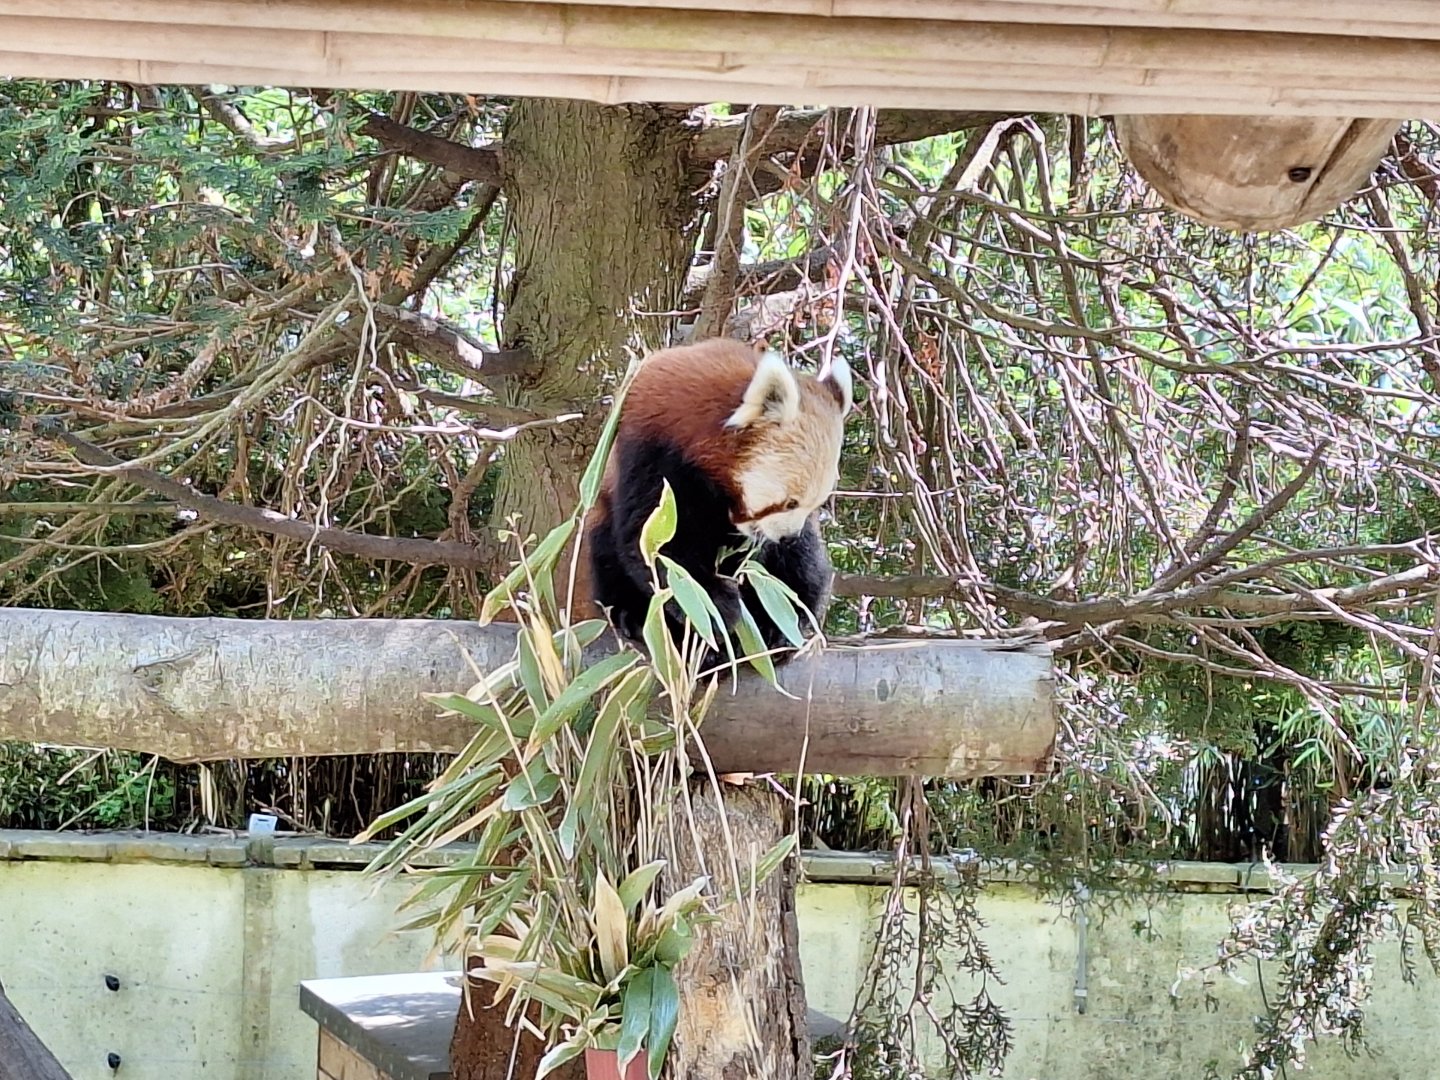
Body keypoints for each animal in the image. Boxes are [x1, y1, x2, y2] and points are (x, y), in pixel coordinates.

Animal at [582, 337, 853, 671]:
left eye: (813, 505)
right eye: (790, 502)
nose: (787, 536)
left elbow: (787, 562)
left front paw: (774, 620)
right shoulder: (651, 450)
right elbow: (652, 544)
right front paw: (714, 606)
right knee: (606, 551)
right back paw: (634, 615)